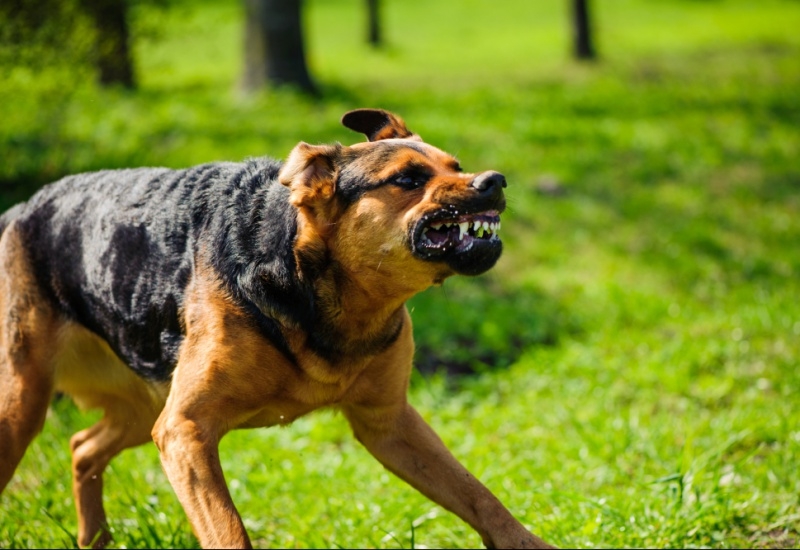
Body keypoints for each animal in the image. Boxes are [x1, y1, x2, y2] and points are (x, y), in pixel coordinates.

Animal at [0, 110, 552, 548]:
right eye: (408, 180)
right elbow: (228, 530)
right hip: (25, 404)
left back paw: (94, 538)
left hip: (143, 406)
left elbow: (478, 495)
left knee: (81, 447)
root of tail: (19, 210)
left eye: (456, 167)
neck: (314, 285)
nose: (493, 181)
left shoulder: (391, 424)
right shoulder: (186, 431)